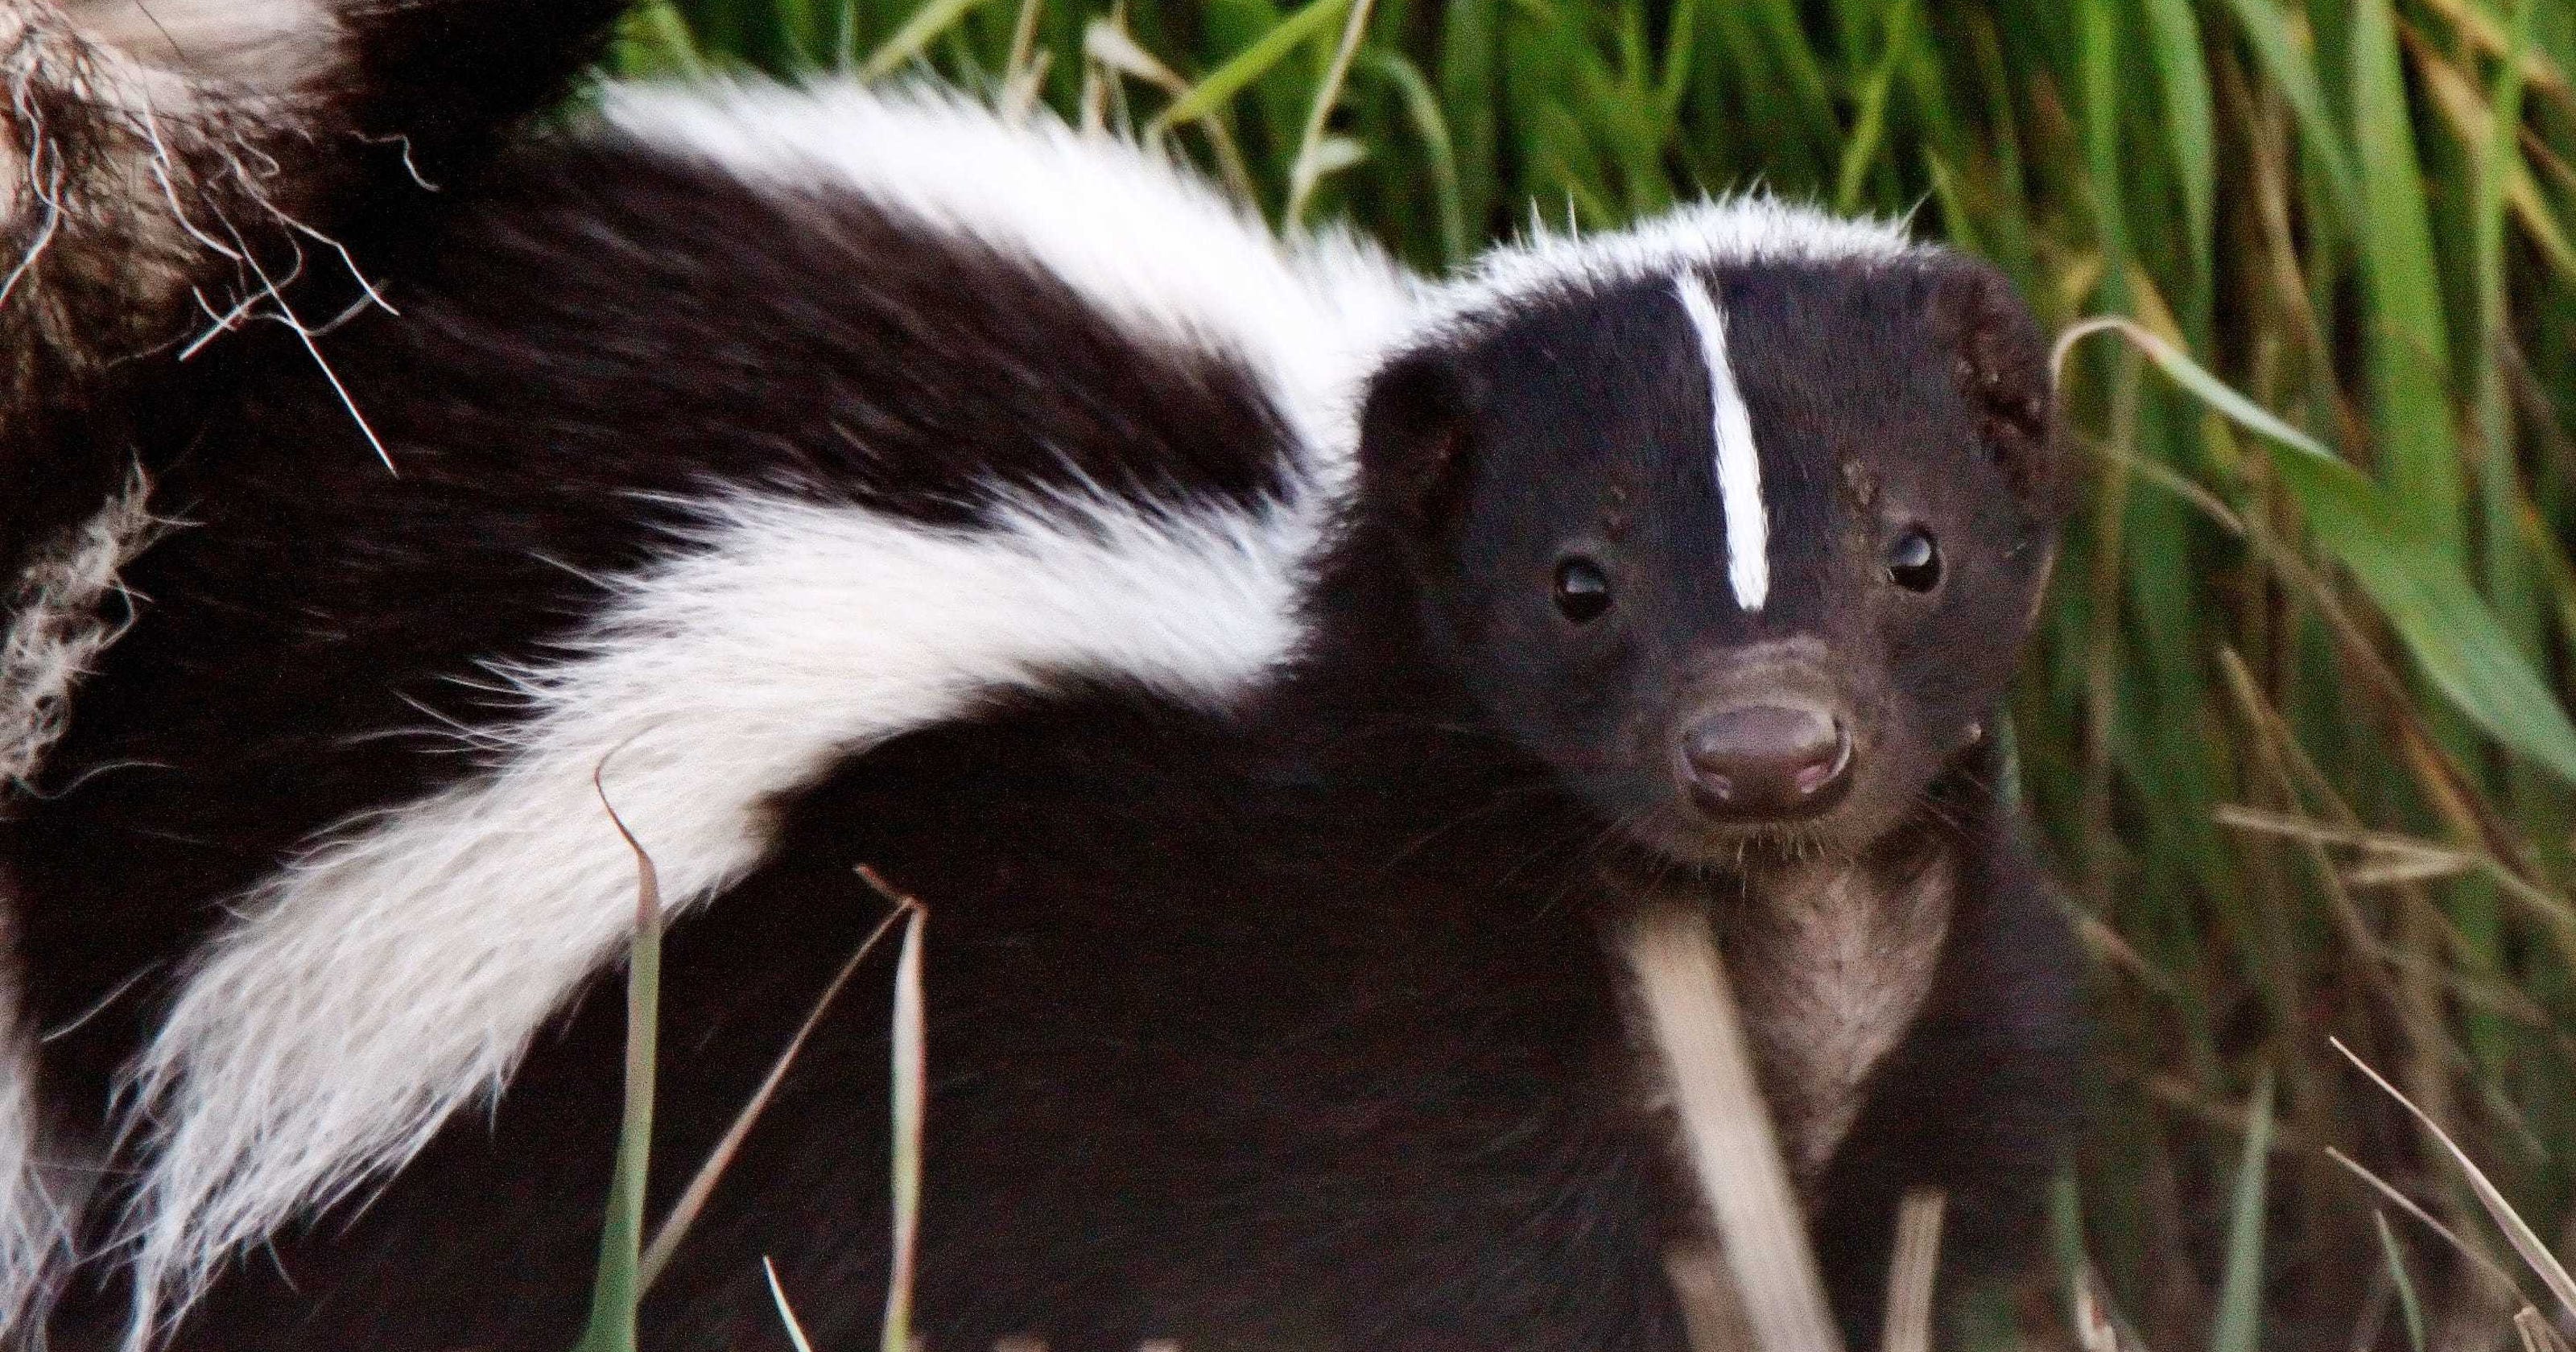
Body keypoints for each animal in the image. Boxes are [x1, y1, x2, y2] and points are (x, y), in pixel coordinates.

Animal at [0, 5, 2081, 1339]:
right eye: (1576, 587)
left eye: (1915, 553)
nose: (1764, 750)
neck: (1750, 940)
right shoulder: (1358, 1022)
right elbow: (1444, 1270)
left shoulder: (1915, 1042)